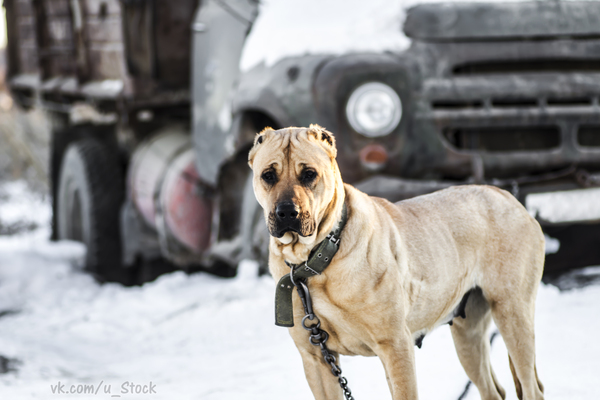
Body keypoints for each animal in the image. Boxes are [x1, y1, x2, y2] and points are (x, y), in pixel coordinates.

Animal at [248, 125, 544, 400]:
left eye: (309, 174)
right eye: (268, 176)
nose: (287, 212)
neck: (317, 258)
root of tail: (507, 196)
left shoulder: (395, 347)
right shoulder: (316, 359)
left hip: (512, 315)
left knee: (531, 387)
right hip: (467, 336)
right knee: (493, 390)